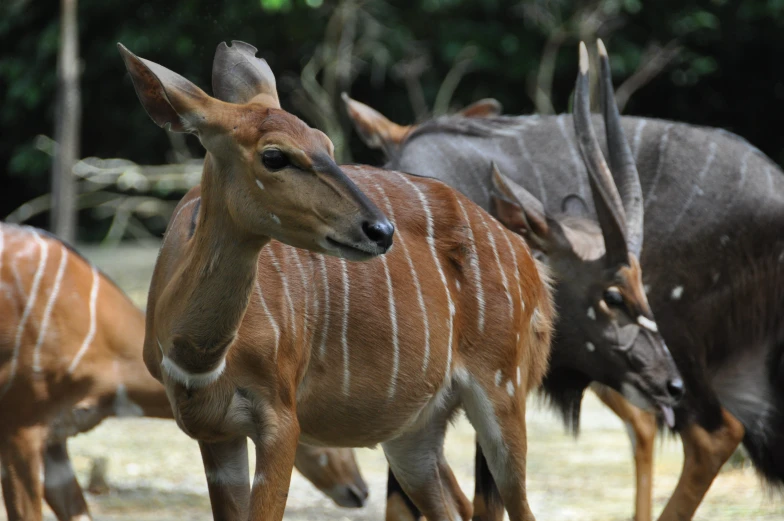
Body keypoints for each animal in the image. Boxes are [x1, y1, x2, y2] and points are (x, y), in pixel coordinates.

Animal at [118, 39, 556, 520]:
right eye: (274, 155)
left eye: (325, 143)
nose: (380, 230)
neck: (198, 357)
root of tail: (531, 264)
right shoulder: (215, 433)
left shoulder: (280, 419)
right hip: (414, 435)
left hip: (503, 392)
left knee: (517, 503)